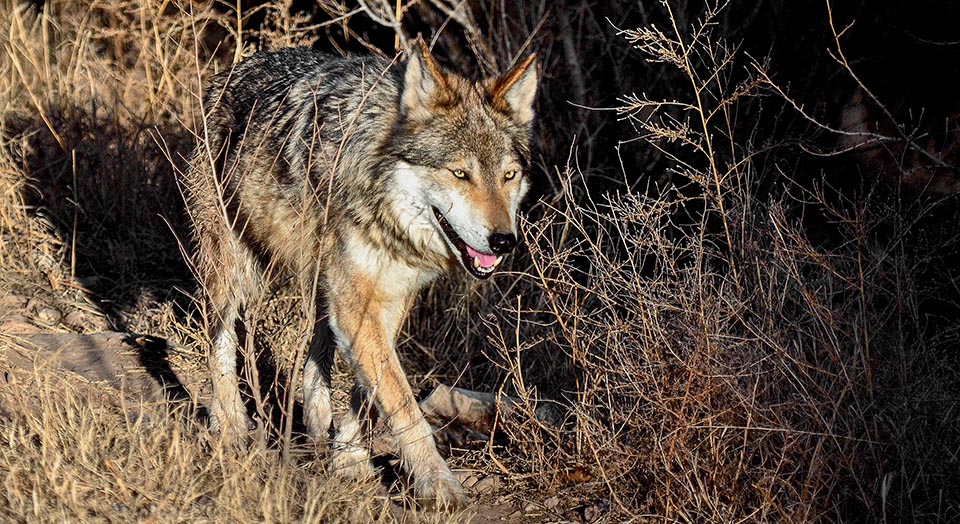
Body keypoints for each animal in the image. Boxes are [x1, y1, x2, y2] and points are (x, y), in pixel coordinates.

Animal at [184, 42, 536, 512]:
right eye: (460, 173)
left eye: (508, 175)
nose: (503, 241)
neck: (378, 186)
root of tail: (238, 66)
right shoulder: (356, 303)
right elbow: (402, 403)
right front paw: (437, 483)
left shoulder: (390, 296)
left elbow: (368, 393)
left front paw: (348, 458)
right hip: (232, 271)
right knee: (220, 337)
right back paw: (231, 427)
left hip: (322, 280)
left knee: (317, 352)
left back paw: (316, 426)